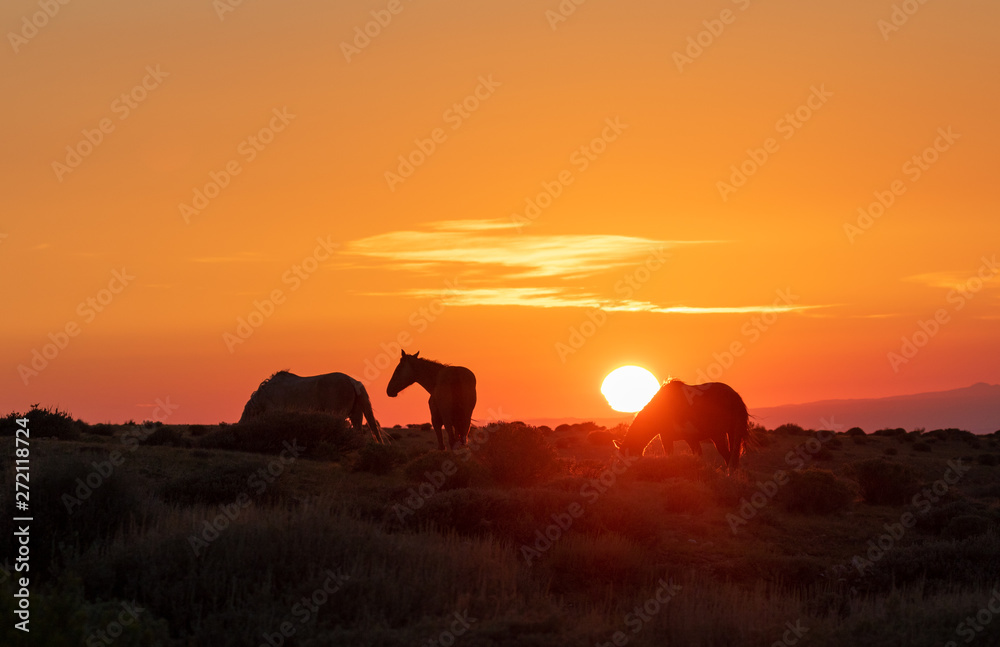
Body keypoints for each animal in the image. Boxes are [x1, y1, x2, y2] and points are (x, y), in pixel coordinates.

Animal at [612, 380, 752, 470]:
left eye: (625, 459)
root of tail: (734, 396)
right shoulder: (691, 439)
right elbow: (698, 456)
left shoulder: (669, 437)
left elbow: (670, 455)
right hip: (732, 433)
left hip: (718, 436)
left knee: (729, 459)